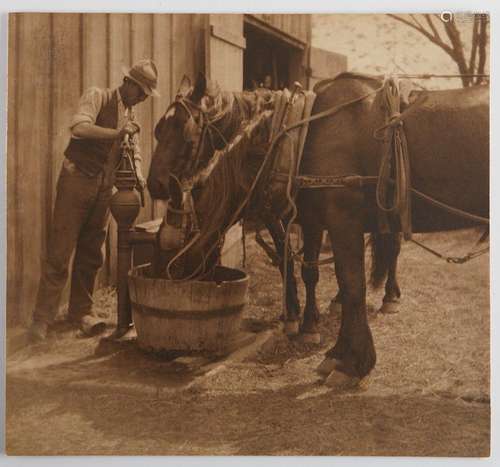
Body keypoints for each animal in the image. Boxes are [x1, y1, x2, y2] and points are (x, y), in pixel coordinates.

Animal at [147, 73, 488, 388]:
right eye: (158, 130)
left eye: (186, 133)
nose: (155, 185)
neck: (302, 136)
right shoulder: (312, 220)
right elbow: (312, 271)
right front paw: (326, 343)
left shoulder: (342, 220)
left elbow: (351, 285)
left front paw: (353, 362)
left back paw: (390, 298)